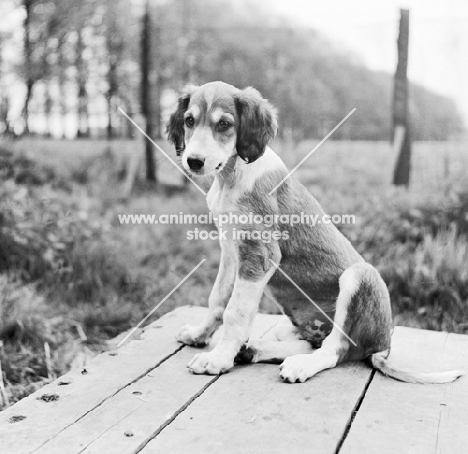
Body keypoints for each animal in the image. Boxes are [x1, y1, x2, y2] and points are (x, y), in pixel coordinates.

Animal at [166, 81, 462, 384]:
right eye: (189, 121)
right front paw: (199, 335)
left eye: (224, 124)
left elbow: (235, 311)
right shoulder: (230, 252)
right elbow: (217, 300)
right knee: (310, 342)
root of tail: (384, 346)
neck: (231, 176)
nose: (194, 161)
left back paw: (300, 365)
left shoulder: (260, 254)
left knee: (335, 350)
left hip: (361, 276)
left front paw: (218, 359)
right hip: (292, 325)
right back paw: (254, 349)